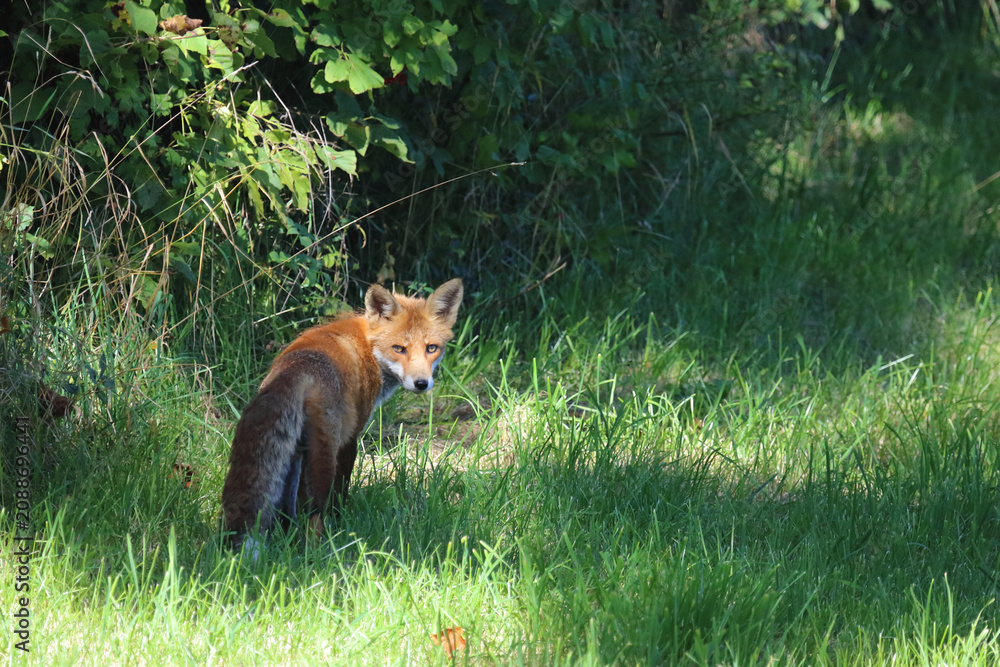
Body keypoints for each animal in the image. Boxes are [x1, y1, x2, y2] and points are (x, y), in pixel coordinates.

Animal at [221, 279, 463, 552]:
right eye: (399, 349)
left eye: (431, 348)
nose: (421, 383)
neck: (369, 347)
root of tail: (296, 369)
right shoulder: (351, 436)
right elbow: (342, 489)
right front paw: (341, 519)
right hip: (324, 454)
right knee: (314, 510)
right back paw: (319, 551)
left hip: (293, 453)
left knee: (289, 509)